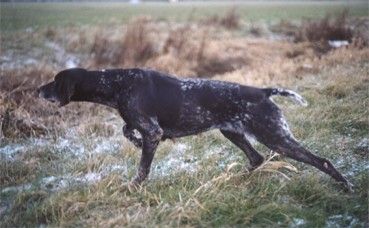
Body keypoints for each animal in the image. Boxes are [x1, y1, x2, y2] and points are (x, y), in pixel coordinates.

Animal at [38, 68, 350, 191]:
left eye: (54, 81)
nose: (37, 90)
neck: (116, 84)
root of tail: (263, 91)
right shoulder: (143, 125)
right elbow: (126, 129)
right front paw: (133, 140)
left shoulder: (153, 132)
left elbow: (142, 169)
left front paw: (132, 187)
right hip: (233, 132)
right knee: (256, 159)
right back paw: (233, 179)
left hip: (275, 136)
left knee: (321, 161)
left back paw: (346, 186)